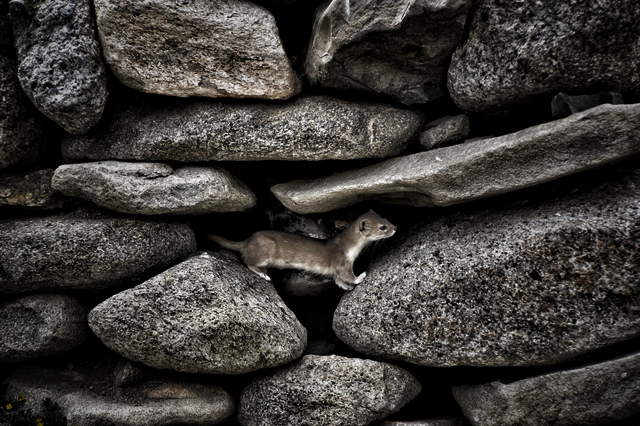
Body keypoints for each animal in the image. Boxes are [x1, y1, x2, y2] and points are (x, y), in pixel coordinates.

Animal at [207, 210, 396, 290]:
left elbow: (337, 280)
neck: (351, 248)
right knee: (249, 262)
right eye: (382, 227)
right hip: (266, 248)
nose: (395, 227)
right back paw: (264, 274)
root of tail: (248, 240)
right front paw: (360, 277)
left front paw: (347, 287)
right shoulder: (341, 260)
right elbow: (346, 275)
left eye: (386, 218)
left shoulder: (334, 269)